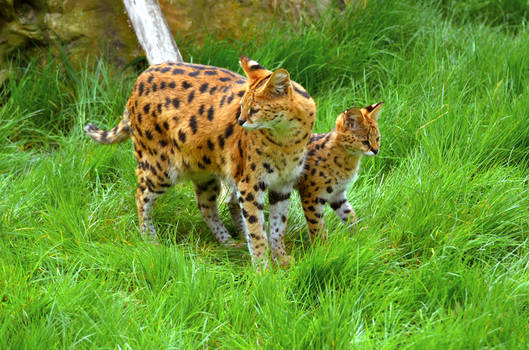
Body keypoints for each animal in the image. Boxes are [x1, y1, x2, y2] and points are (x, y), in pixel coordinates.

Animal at [85, 57, 316, 266]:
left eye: (255, 109)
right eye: (242, 106)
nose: (240, 121)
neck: (286, 140)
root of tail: (139, 79)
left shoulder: (283, 184)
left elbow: (278, 226)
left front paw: (281, 258)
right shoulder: (250, 184)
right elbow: (257, 231)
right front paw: (262, 270)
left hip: (205, 173)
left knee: (205, 206)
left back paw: (227, 242)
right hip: (159, 167)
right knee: (140, 194)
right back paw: (150, 240)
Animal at [294, 102, 382, 238]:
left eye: (377, 138)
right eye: (365, 142)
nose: (376, 150)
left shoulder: (337, 194)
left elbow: (350, 215)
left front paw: (359, 237)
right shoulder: (310, 196)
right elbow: (316, 227)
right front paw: (320, 244)